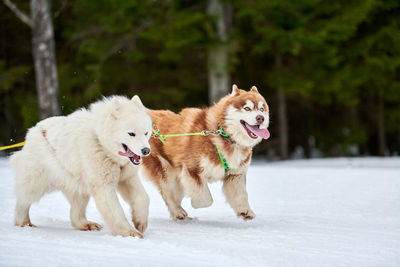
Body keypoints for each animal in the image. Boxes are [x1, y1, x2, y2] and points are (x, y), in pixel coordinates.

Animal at [9, 95, 153, 238]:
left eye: (146, 133)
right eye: (131, 133)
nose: (146, 150)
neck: (101, 142)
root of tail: (33, 130)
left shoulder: (126, 177)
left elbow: (143, 197)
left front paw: (140, 222)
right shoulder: (103, 183)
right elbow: (115, 210)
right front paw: (131, 233)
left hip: (77, 182)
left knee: (76, 210)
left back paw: (87, 224)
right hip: (38, 179)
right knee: (24, 198)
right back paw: (23, 222)